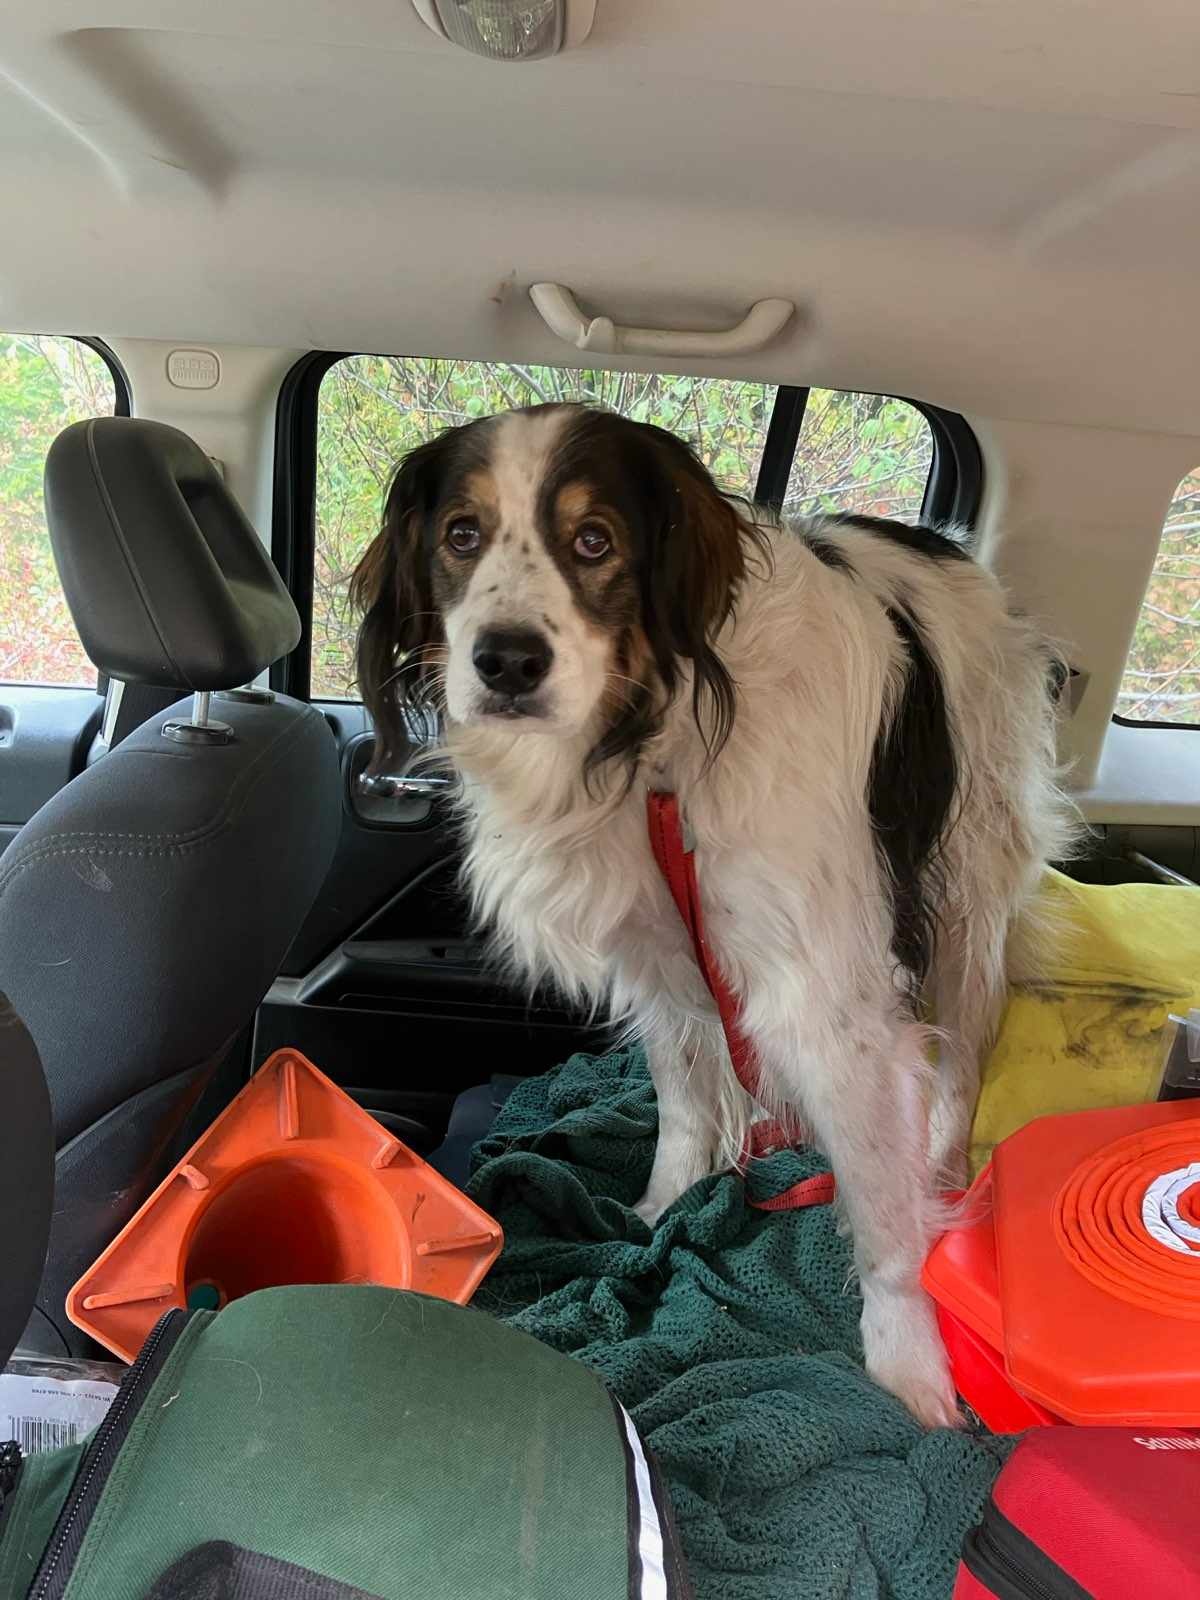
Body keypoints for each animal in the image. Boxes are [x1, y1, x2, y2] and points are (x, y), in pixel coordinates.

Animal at [352, 403, 1075, 1427]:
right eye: (461, 535)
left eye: (594, 541)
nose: (506, 661)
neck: (656, 743)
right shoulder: (658, 948)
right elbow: (688, 1098)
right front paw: (665, 1209)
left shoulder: (824, 996)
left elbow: (881, 1209)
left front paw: (907, 1361)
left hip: (970, 883)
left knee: (963, 1053)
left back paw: (941, 1174)